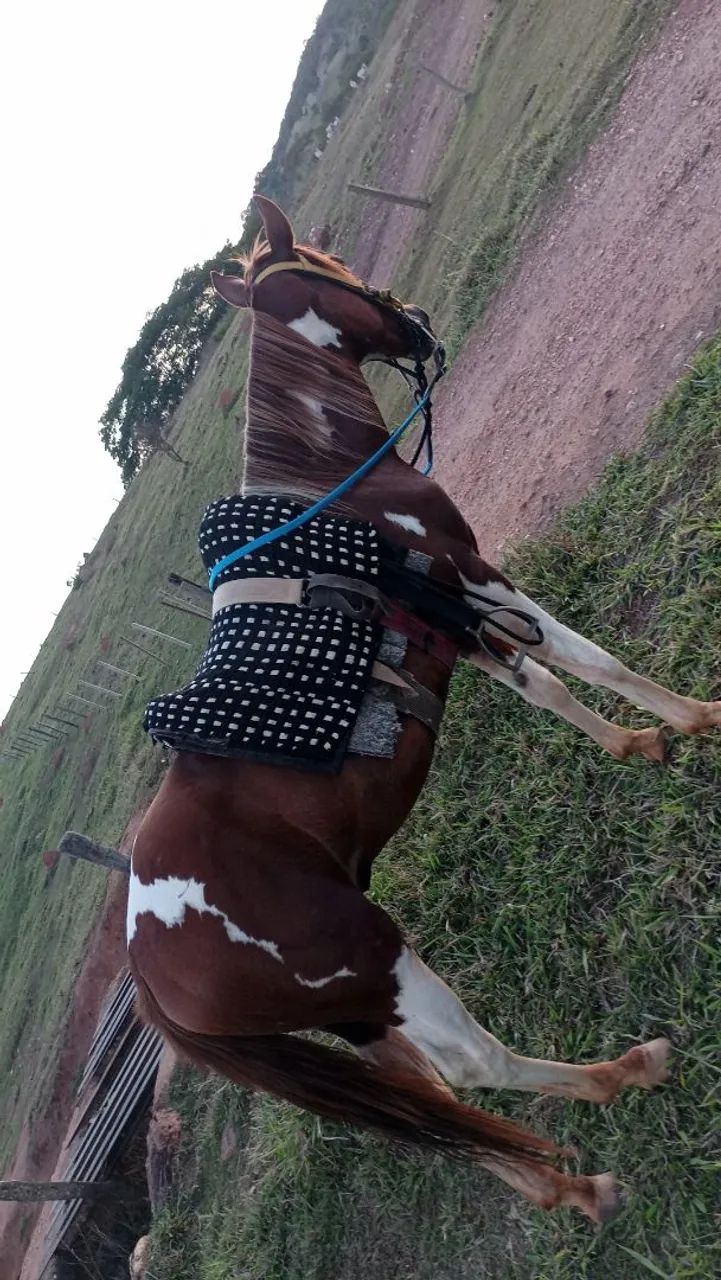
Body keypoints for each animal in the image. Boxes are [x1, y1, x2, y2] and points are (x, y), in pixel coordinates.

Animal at [129, 195, 718, 1222]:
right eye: (327, 270)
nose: (414, 323)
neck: (341, 488)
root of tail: (142, 965)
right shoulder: (474, 578)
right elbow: (582, 655)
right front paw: (693, 718)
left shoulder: (457, 623)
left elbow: (546, 684)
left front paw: (636, 743)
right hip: (379, 966)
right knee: (471, 1065)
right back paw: (623, 1074)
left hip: (354, 1015)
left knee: (432, 1102)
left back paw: (571, 1190)